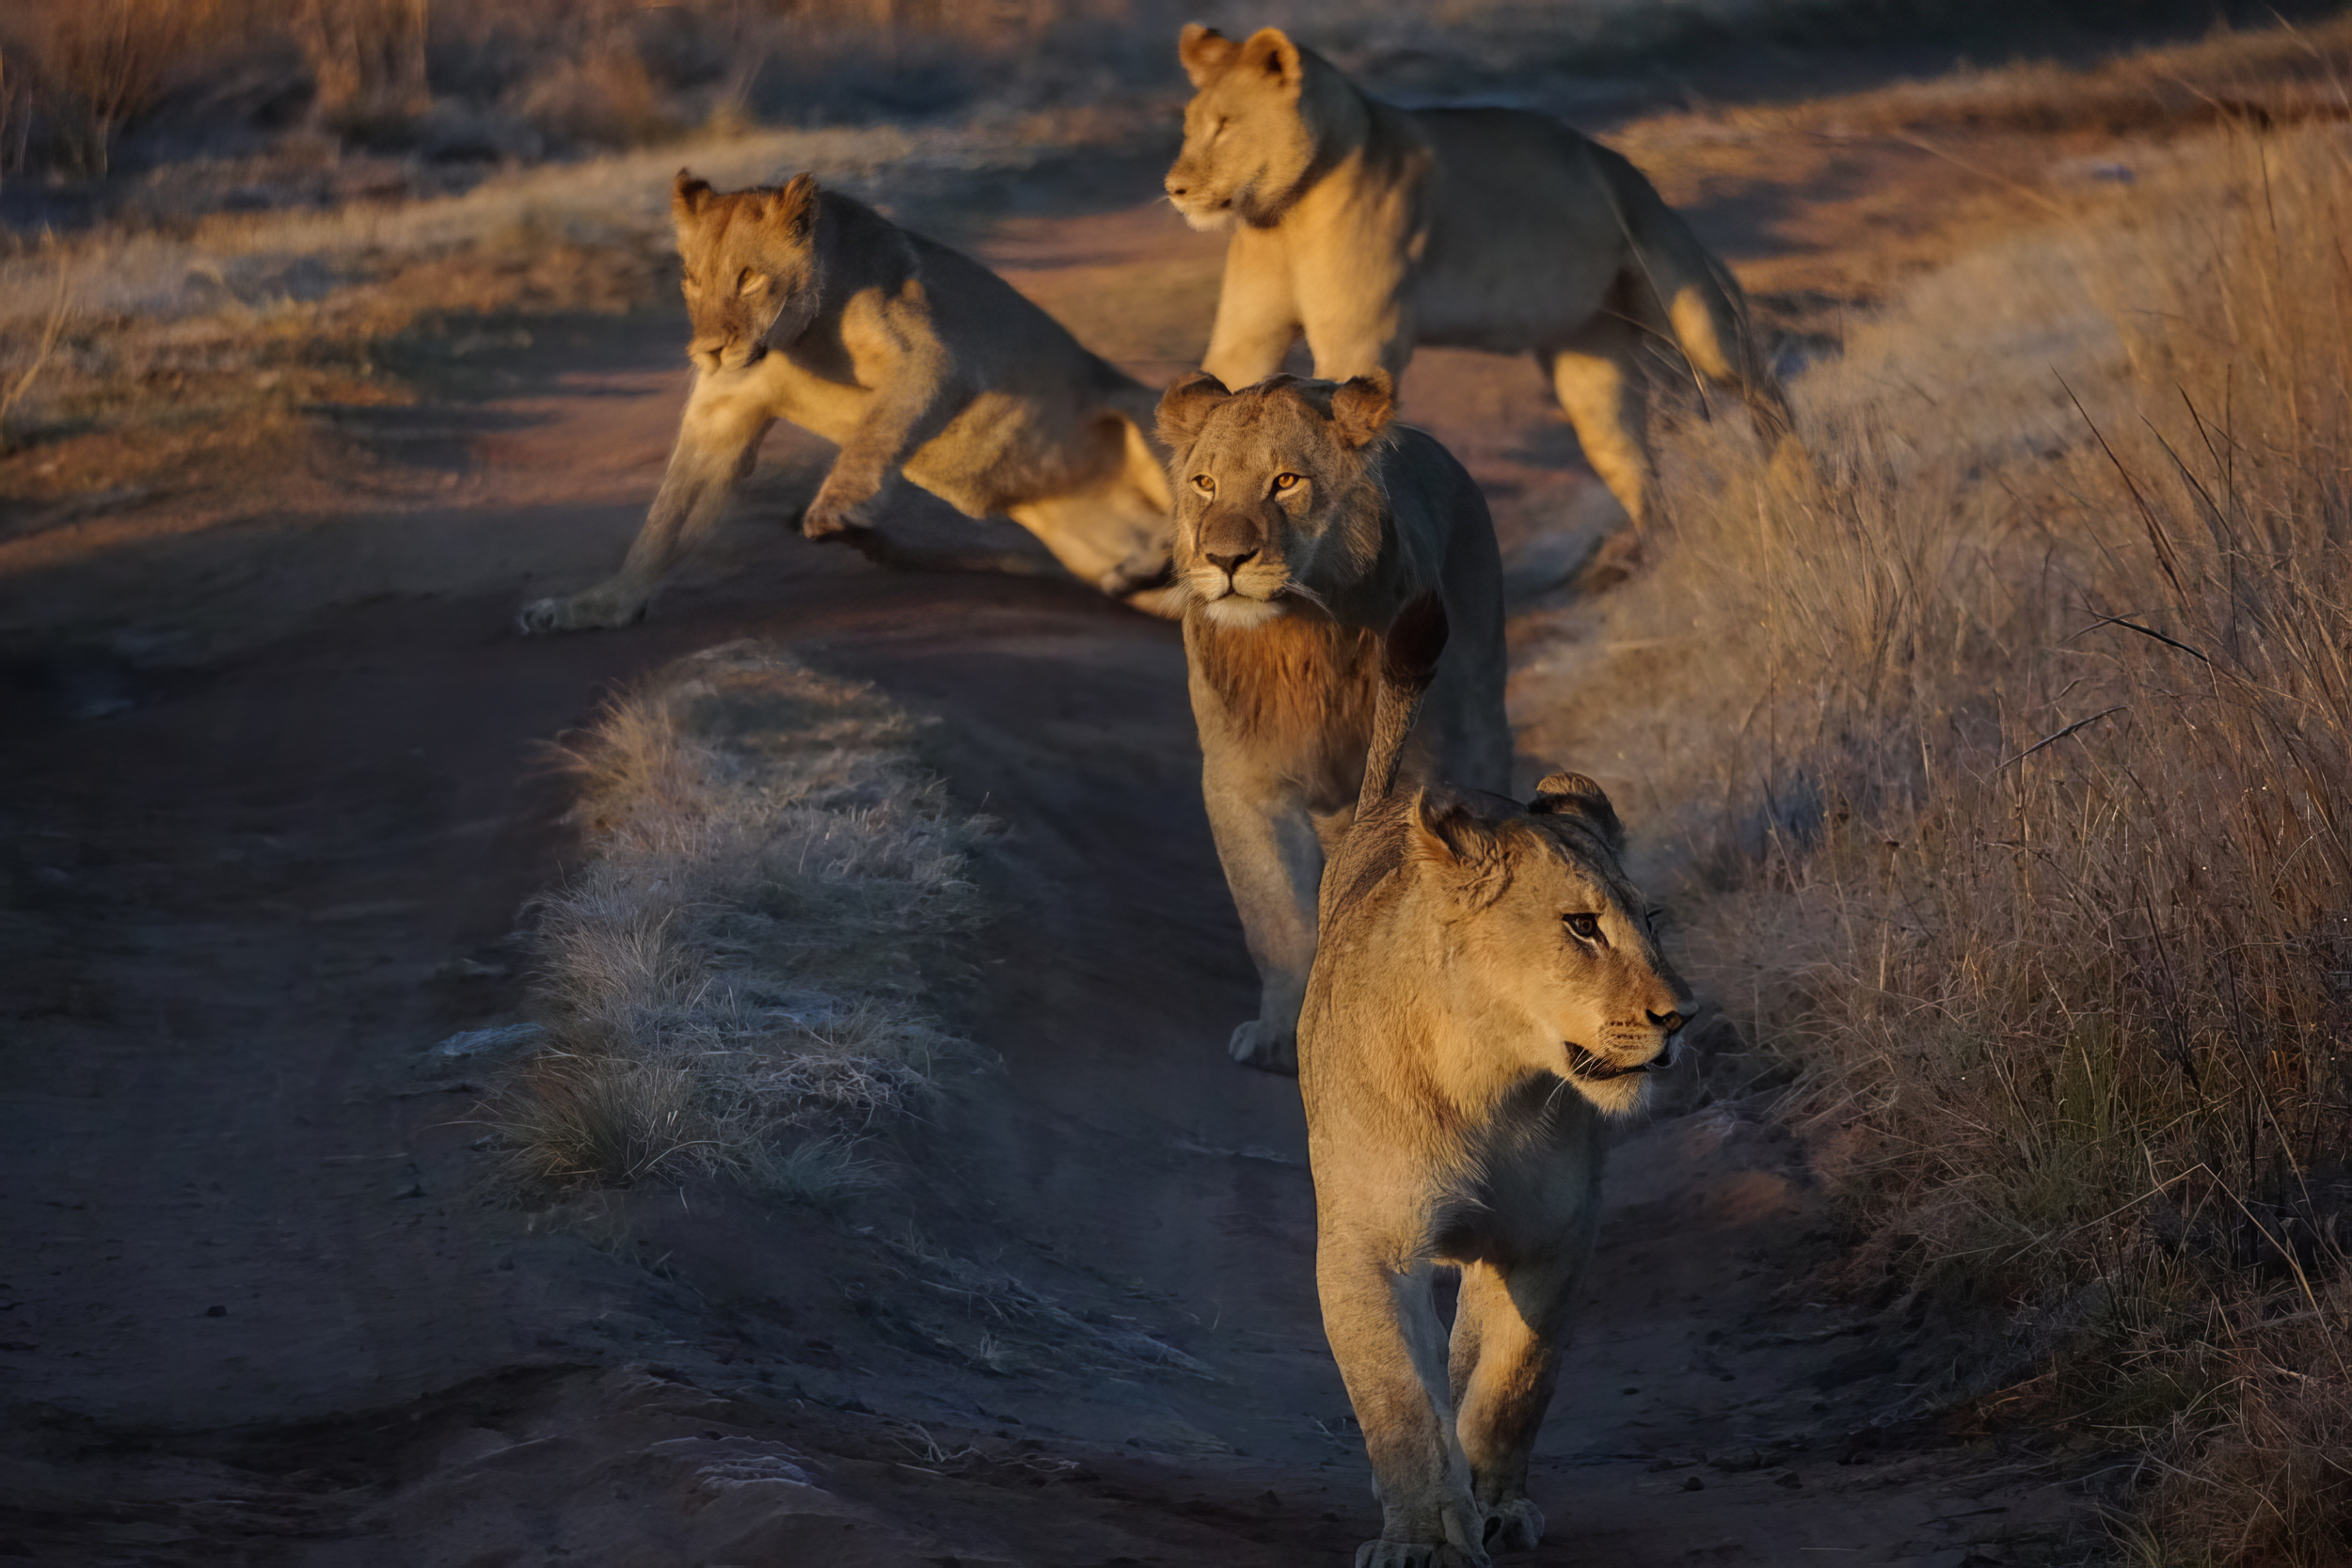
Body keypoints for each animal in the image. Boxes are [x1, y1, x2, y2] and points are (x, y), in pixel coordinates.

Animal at [518, 171, 1179, 634]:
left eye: (748, 278)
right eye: (692, 280)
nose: (707, 350)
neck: (793, 345)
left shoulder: (934, 360)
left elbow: (874, 433)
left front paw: (836, 507)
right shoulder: (720, 417)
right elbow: (664, 523)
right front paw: (595, 607)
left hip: (1152, 414)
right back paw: (1140, 570)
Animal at [1156, 366, 1510, 1073]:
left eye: (1286, 481)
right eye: (1205, 484)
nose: (1224, 559)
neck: (1295, 638)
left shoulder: (1414, 780)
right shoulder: (1244, 784)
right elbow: (1276, 918)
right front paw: (1278, 1034)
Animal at [1164, 24, 1798, 532]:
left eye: (1225, 125)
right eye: (1189, 127)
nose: (1174, 188)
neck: (1282, 217)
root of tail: (1628, 173)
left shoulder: (1360, 336)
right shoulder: (1248, 332)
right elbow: (1222, 403)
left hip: (1686, 303)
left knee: (1760, 385)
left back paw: (1795, 486)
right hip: (1590, 355)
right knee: (1631, 463)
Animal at [1300, 594, 1694, 1566]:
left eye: (1652, 921)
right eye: (1582, 927)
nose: (1681, 1017)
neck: (1492, 1080)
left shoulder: (1552, 1238)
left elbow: (1515, 1379)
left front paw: (1491, 1505)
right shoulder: (1369, 1240)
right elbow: (1399, 1400)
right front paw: (1422, 1537)